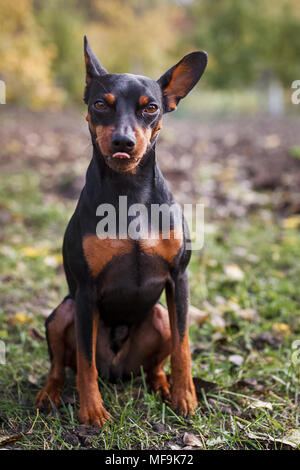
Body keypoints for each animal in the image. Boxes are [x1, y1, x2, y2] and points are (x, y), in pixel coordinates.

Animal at [36, 36, 207, 426]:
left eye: (151, 108)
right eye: (101, 104)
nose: (123, 142)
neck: (128, 190)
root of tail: (117, 370)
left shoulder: (179, 278)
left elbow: (183, 346)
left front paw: (185, 397)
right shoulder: (86, 291)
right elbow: (85, 362)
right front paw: (92, 411)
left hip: (158, 317)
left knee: (155, 364)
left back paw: (163, 387)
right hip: (64, 311)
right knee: (61, 367)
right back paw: (49, 394)